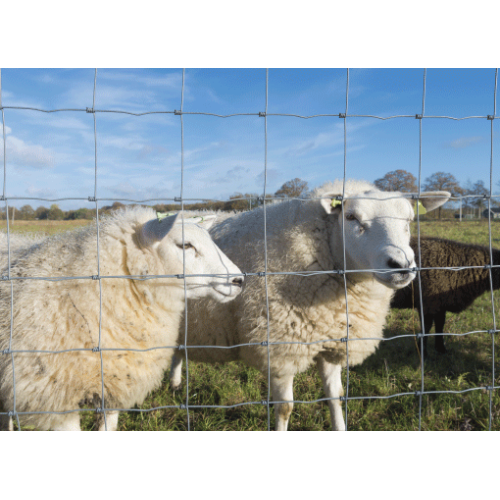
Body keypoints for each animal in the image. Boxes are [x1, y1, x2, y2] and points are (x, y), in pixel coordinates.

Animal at [170, 180, 452, 430]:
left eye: (409, 221)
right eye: (351, 217)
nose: (401, 266)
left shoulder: (333, 339)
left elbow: (336, 397)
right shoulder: (280, 348)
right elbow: (285, 408)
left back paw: (174, 383)